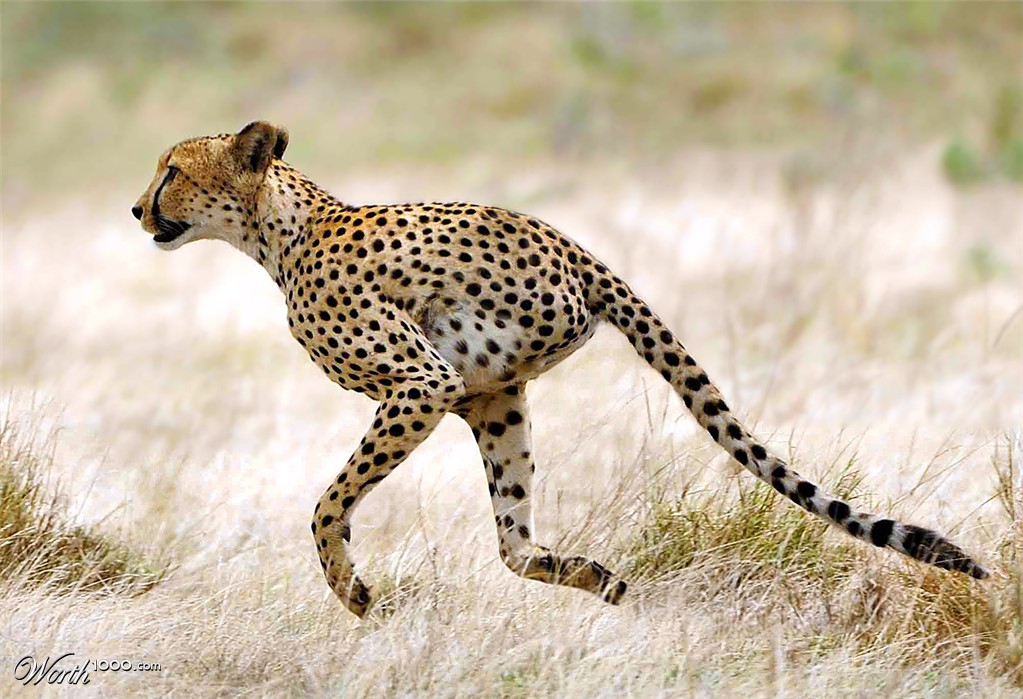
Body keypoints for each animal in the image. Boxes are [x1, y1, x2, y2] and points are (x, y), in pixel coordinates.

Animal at [133, 121, 989, 617]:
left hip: (486, 363)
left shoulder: (420, 383)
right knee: (513, 540)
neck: (274, 231)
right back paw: (587, 574)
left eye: (171, 171)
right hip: (498, 402)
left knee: (503, 528)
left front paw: (351, 589)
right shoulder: (459, 393)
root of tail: (573, 246)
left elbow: (325, 503)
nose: (138, 210)